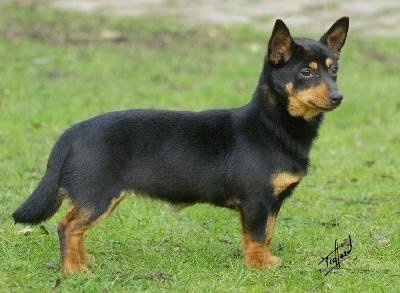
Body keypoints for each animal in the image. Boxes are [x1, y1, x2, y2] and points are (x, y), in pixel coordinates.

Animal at [14, 17, 348, 274]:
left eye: (334, 71)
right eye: (306, 72)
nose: (338, 97)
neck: (272, 125)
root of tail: (71, 133)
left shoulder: (272, 204)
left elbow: (267, 234)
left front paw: (261, 260)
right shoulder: (256, 202)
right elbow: (255, 236)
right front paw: (260, 266)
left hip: (99, 199)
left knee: (76, 229)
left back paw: (85, 260)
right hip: (97, 196)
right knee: (67, 227)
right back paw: (73, 270)